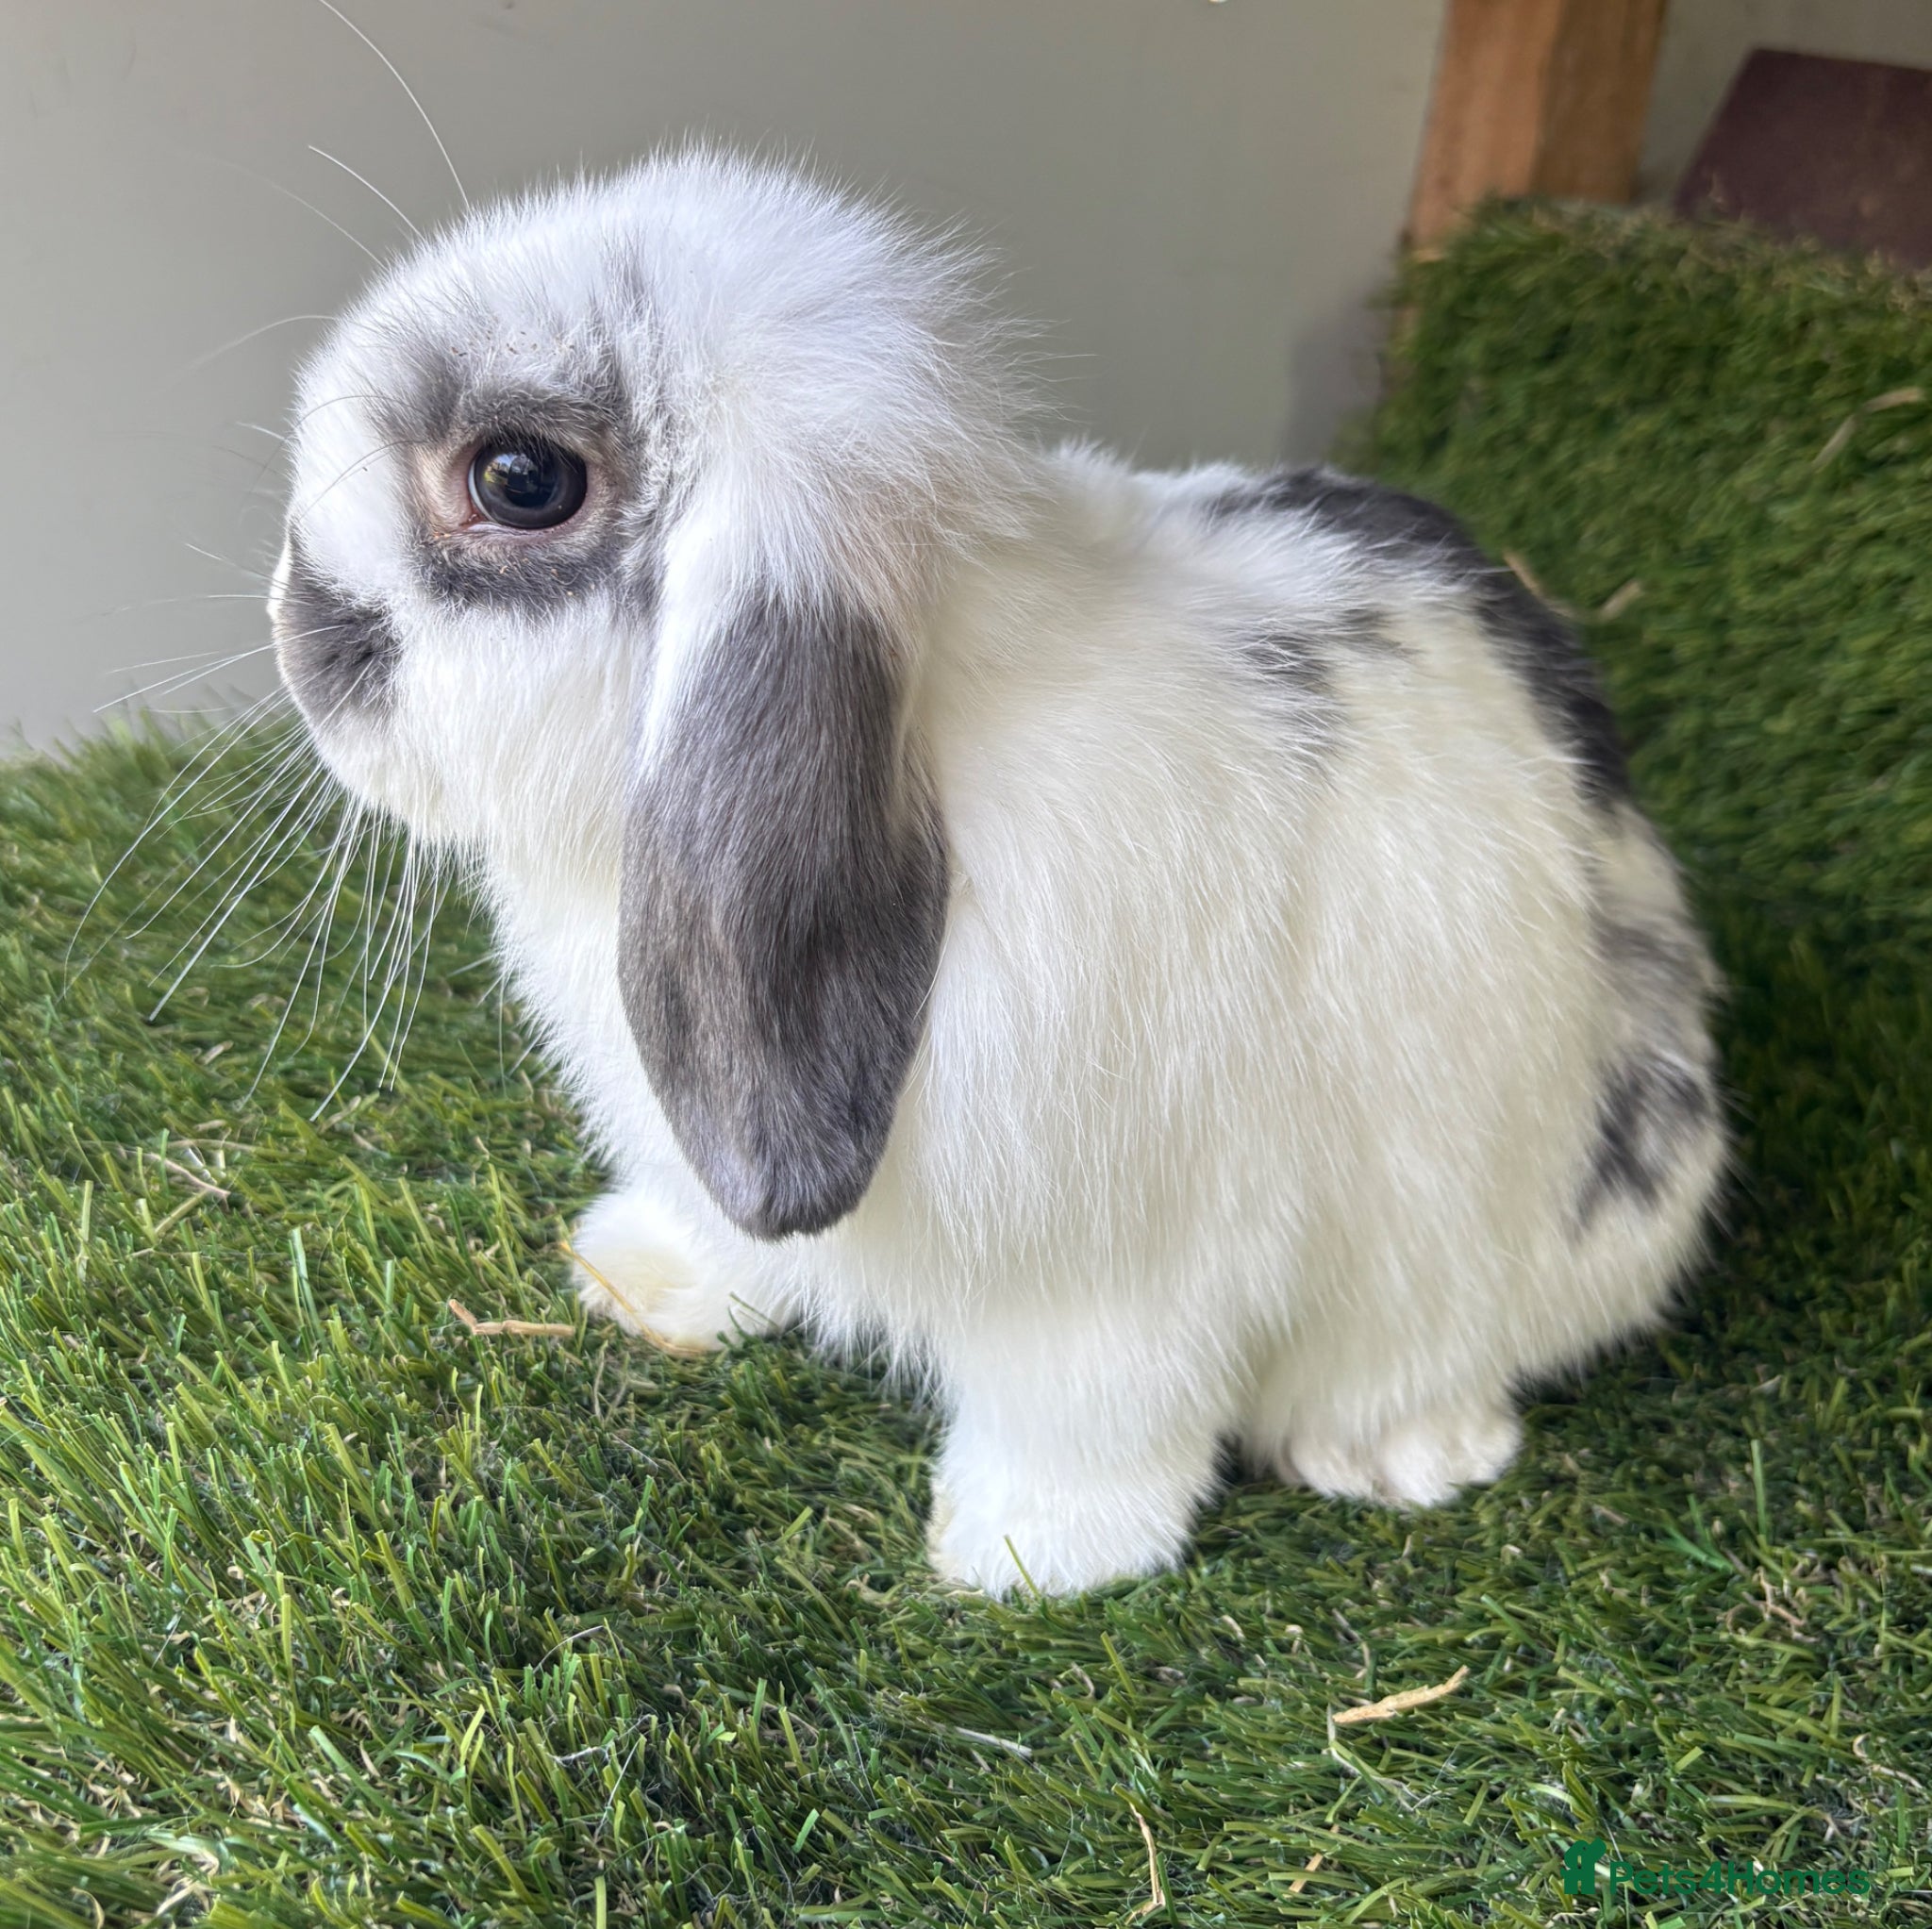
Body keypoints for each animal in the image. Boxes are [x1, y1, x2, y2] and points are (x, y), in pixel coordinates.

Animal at [268, 150, 1724, 1596]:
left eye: (519, 478)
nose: (296, 617)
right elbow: (723, 1230)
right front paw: (635, 1282)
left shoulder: (1122, 1267)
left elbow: (1091, 1409)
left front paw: (1024, 1554)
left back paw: (1392, 1451)